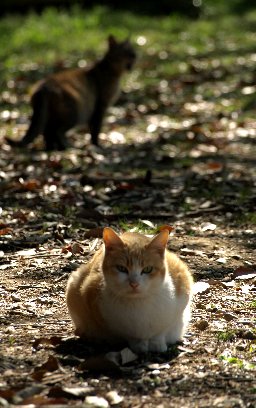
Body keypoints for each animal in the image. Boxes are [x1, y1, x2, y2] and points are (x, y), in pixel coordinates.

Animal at [7, 35, 136, 151]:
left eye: (133, 52)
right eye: (127, 53)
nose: (135, 57)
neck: (113, 72)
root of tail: (44, 87)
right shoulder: (100, 108)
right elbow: (96, 129)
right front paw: (96, 145)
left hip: (51, 116)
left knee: (47, 132)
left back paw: (52, 148)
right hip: (75, 112)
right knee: (57, 131)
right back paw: (66, 147)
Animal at [65, 228, 193, 352]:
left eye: (147, 269)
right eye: (121, 268)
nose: (134, 284)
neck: (139, 304)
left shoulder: (183, 288)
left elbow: (162, 330)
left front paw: (157, 342)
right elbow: (129, 334)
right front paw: (139, 344)